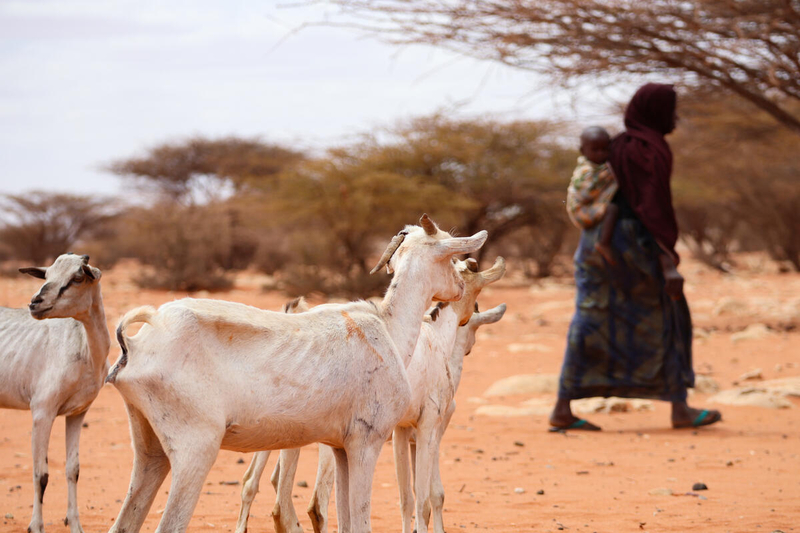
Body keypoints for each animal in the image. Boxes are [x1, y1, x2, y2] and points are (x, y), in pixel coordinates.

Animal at [0, 252, 109, 532]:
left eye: (77, 277)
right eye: (46, 275)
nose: (35, 303)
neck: (84, 350)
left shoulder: (77, 413)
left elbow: (73, 470)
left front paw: (76, 526)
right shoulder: (42, 413)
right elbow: (41, 474)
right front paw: (35, 527)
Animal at [103, 214, 484, 532]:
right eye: (449, 253)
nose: (459, 290)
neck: (388, 329)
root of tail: (138, 342)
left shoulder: (340, 449)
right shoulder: (367, 443)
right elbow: (361, 521)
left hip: (150, 451)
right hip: (195, 450)